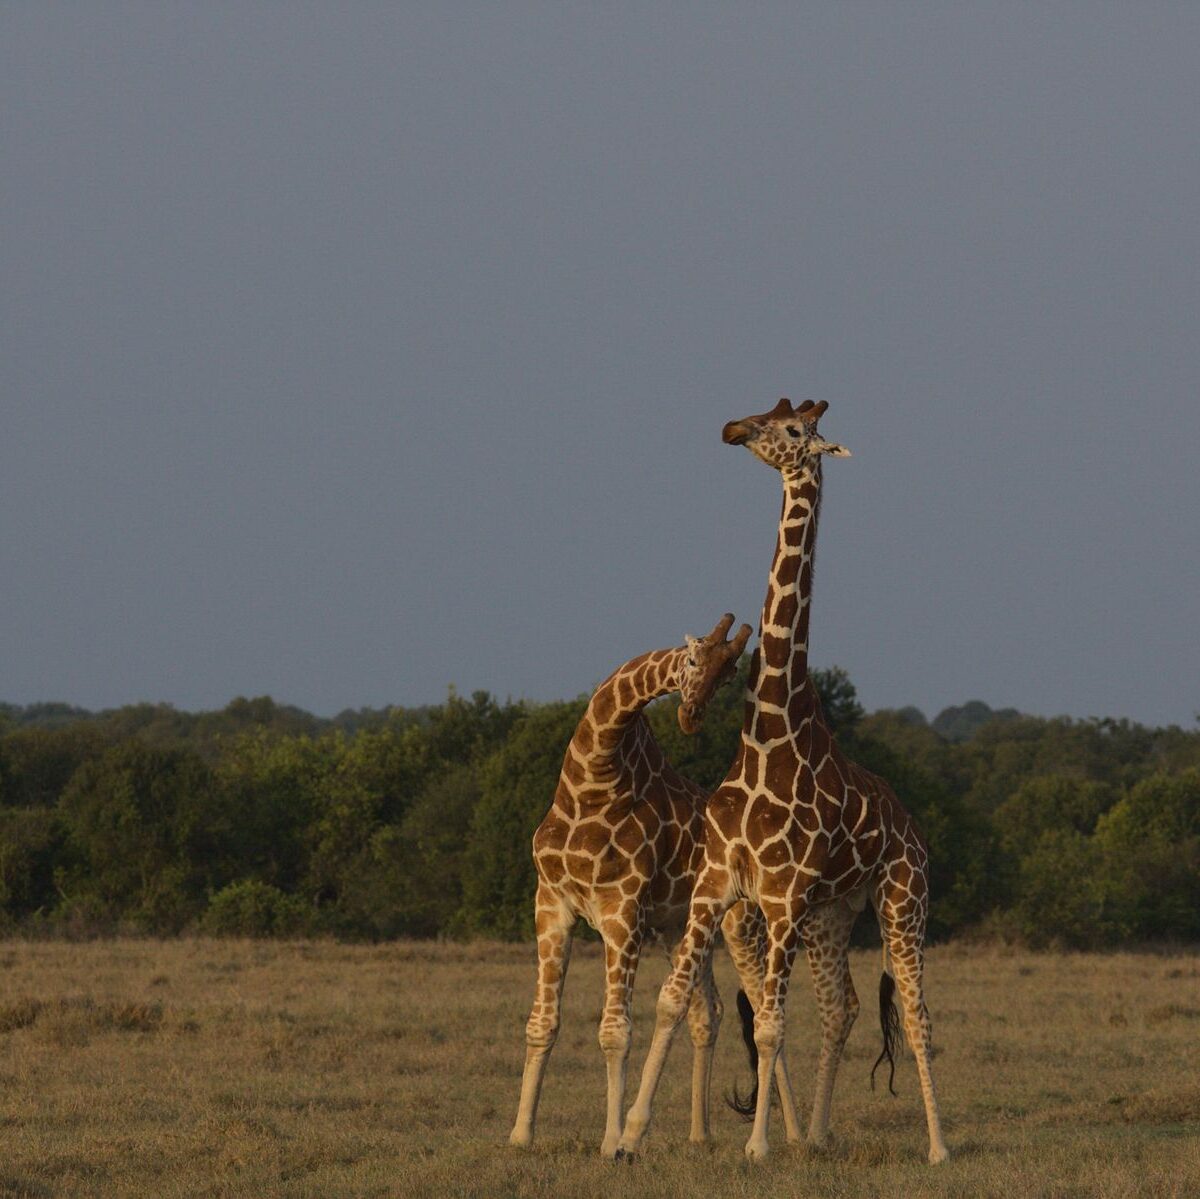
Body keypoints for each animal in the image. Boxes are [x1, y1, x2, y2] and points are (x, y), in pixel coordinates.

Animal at [509, 613, 805, 1158]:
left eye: (729, 674)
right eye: (692, 659)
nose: (690, 714)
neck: (592, 781)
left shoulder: (622, 912)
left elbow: (614, 1032)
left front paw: (611, 1141)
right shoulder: (551, 905)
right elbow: (542, 1024)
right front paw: (521, 1134)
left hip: (741, 925)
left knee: (761, 1010)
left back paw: (791, 1135)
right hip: (681, 929)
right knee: (707, 1012)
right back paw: (699, 1133)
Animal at [617, 399, 949, 1165]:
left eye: (795, 431)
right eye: (767, 409)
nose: (732, 430)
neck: (767, 739)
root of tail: (912, 826)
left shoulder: (783, 897)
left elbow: (768, 1025)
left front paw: (759, 1145)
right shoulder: (717, 886)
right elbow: (673, 1000)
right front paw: (628, 1135)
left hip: (900, 900)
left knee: (916, 1014)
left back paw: (938, 1146)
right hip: (835, 913)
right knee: (842, 1006)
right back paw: (820, 1134)